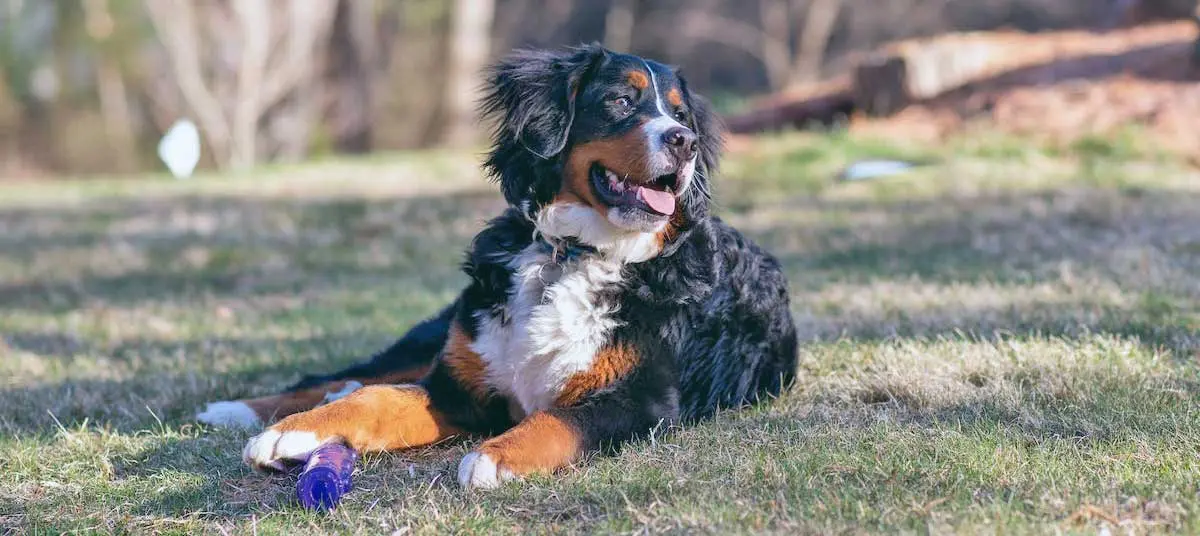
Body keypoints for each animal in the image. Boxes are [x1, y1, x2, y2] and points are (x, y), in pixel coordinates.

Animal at [196, 46, 796, 491]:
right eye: (621, 100)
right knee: (344, 378)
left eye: (681, 114)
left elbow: (560, 419)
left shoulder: (643, 399)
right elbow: (380, 398)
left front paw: (497, 456)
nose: (684, 141)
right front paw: (293, 433)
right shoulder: (460, 385)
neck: (572, 254)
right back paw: (238, 410)